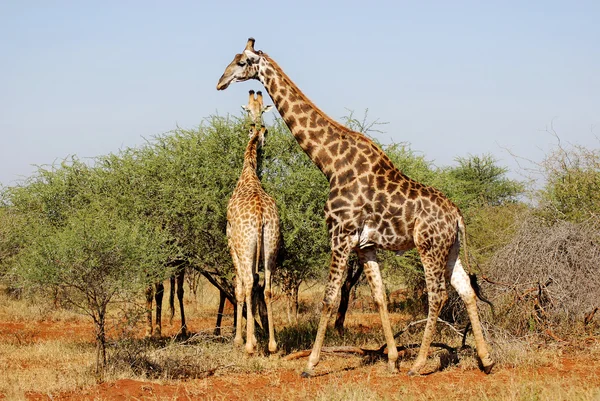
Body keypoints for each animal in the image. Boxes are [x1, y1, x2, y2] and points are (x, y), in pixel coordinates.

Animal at [218, 37, 494, 376]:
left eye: (242, 62)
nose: (220, 82)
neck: (330, 163)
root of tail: (457, 216)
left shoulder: (340, 235)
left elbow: (328, 298)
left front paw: (310, 364)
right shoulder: (365, 245)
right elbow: (379, 297)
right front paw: (392, 359)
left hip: (429, 247)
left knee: (437, 295)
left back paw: (418, 363)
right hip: (450, 248)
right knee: (466, 289)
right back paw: (486, 359)